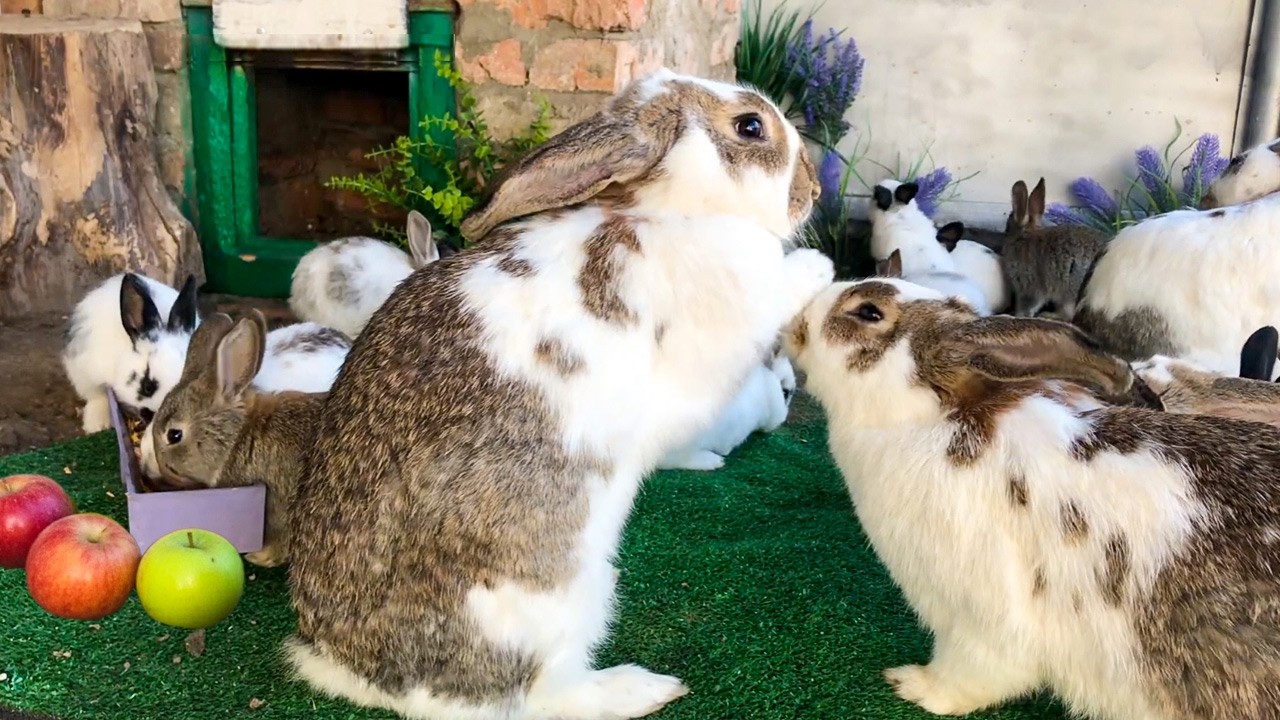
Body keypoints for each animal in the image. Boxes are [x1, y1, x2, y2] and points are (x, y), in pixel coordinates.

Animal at [785, 276, 1280, 720]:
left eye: (869, 312)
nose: (797, 319)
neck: (930, 421)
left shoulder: (983, 618)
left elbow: (969, 675)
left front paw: (912, 684)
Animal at [1002, 178, 1110, 320]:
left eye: (1007, 227)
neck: (1025, 236)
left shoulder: (1029, 285)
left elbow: (1028, 305)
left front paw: (1016, 315)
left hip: (1070, 293)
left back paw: (1048, 315)